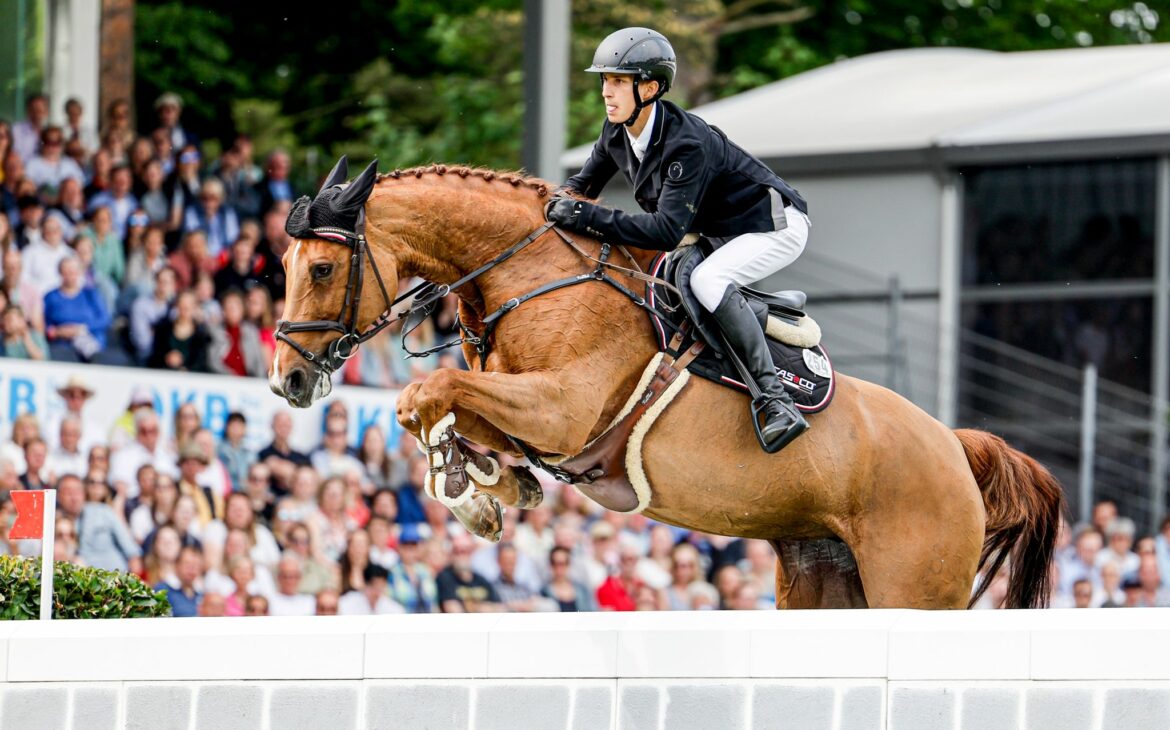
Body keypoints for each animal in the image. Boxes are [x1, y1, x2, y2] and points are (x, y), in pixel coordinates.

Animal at [269, 161, 1067, 608]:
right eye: (282, 266)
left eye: (321, 268)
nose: (288, 383)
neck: (530, 276)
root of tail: (956, 447)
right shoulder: (531, 412)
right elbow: (446, 406)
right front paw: (493, 486)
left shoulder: (563, 411)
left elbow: (425, 394)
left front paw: (472, 492)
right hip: (824, 577)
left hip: (913, 585)